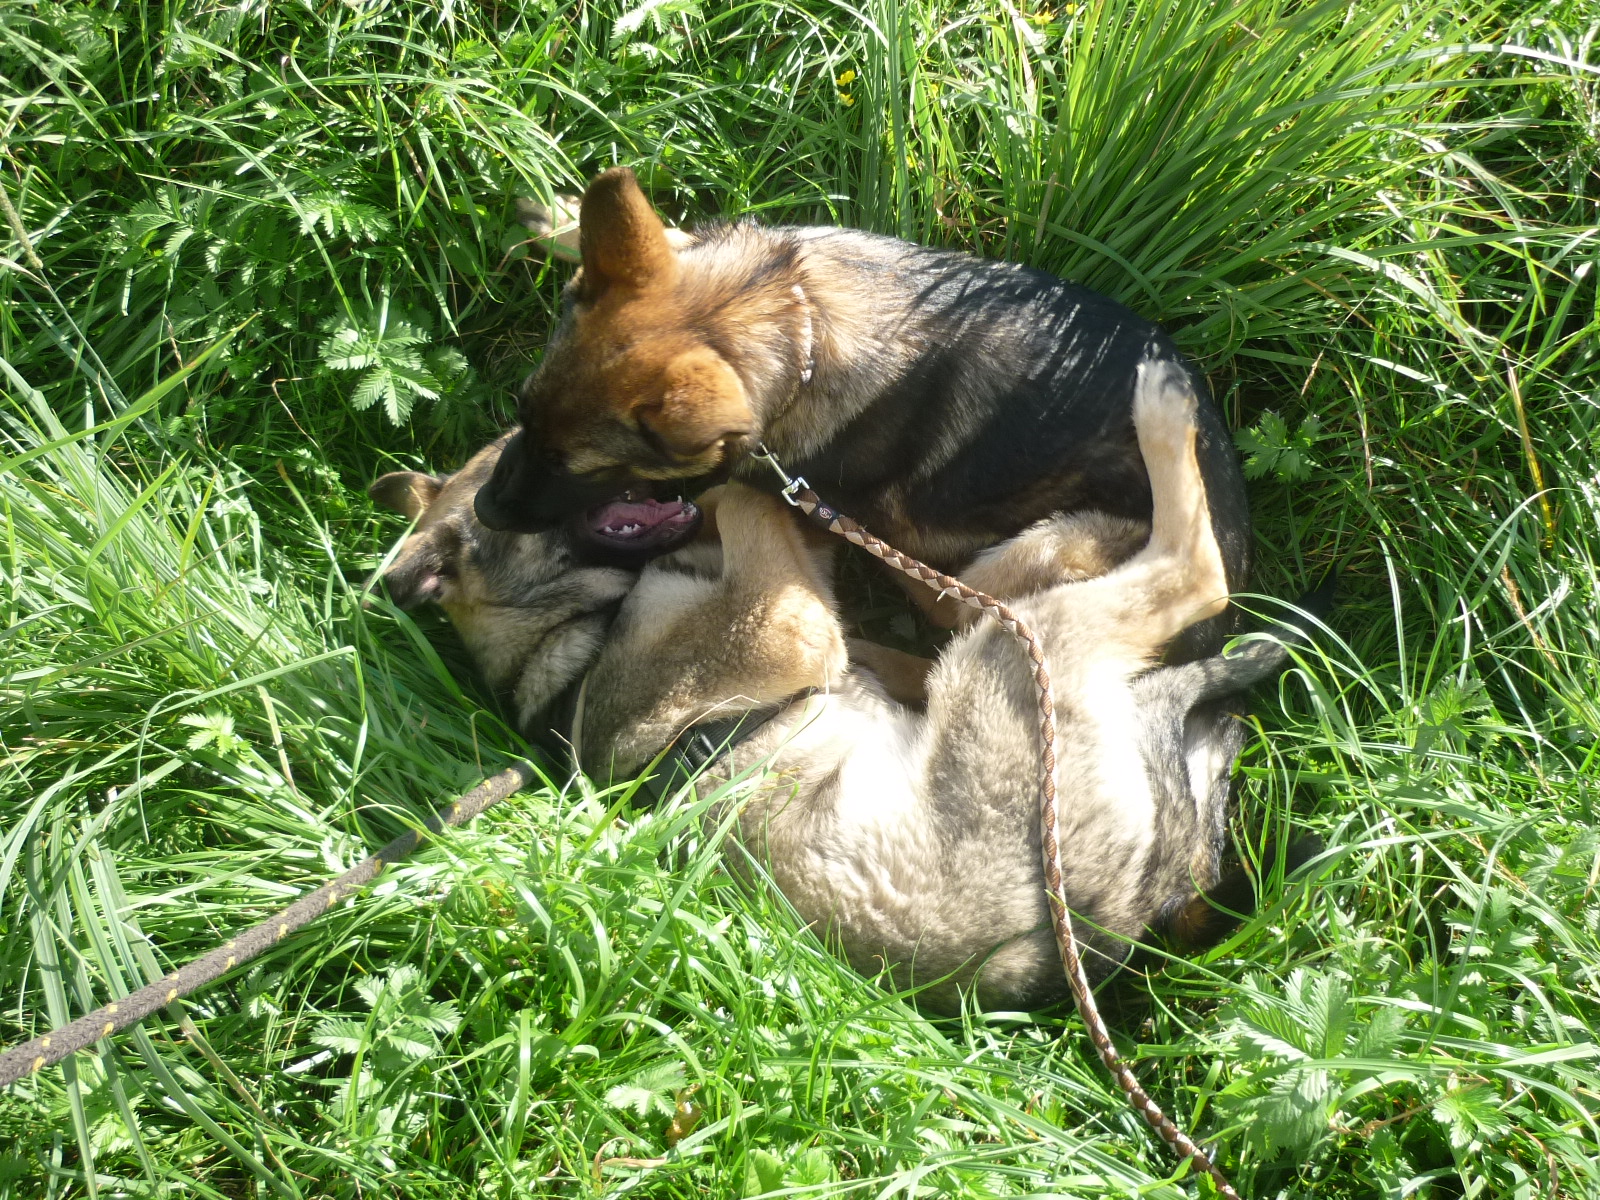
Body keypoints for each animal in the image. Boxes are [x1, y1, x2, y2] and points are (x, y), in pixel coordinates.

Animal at [373, 362, 1304, 1012]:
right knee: (1193, 572)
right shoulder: (783, 624)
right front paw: (745, 459)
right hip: (1017, 654)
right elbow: (751, 502)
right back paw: (1165, 416)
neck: (572, 627)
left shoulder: (802, 596)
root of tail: (1127, 916)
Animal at [473, 167, 1251, 659]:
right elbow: (670, 237)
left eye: (577, 465)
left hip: (1039, 551)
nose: (483, 508)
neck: (797, 322)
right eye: (524, 416)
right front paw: (560, 216)